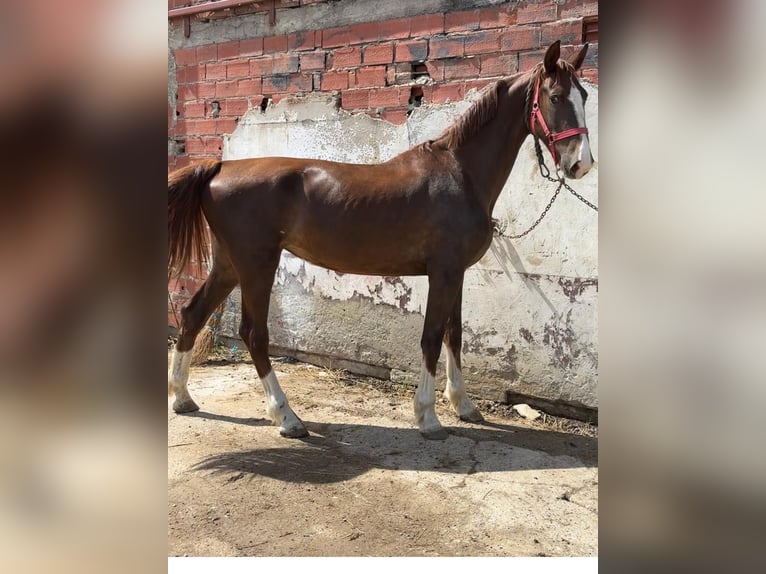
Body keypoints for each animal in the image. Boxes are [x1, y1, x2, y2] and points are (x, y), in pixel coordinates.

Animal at [171, 41, 596, 440]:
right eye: (556, 96)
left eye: (584, 96)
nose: (581, 163)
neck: (460, 173)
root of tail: (219, 168)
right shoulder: (443, 272)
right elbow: (431, 337)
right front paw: (428, 417)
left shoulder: (457, 273)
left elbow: (455, 335)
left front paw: (464, 405)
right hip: (257, 264)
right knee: (254, 334)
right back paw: (287, 418)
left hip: (229, 264)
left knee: (192, 314)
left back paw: (183, 398)